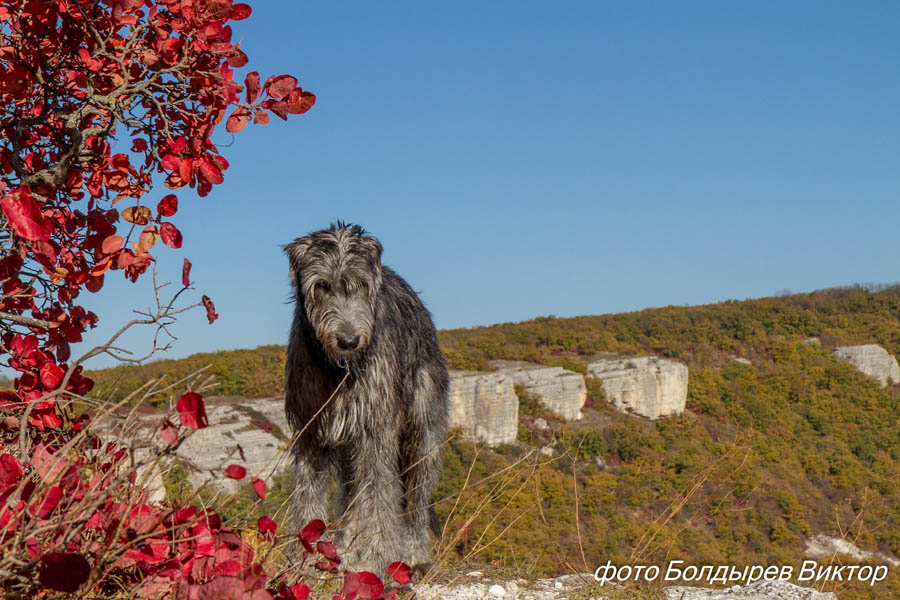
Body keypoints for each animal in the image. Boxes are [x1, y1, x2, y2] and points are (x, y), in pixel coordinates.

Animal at [284, 220, 448, 572]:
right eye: (322, 286)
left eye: (360, 283)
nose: (349, 341)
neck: (338, 369)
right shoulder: (310, 433)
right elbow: (308, 495)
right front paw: (305, 559)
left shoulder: (375, 429)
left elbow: (377, 498)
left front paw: (373, 560)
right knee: (351, 494)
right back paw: (346, 546)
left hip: (423, 428)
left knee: (416, 496)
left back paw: (416, 555)